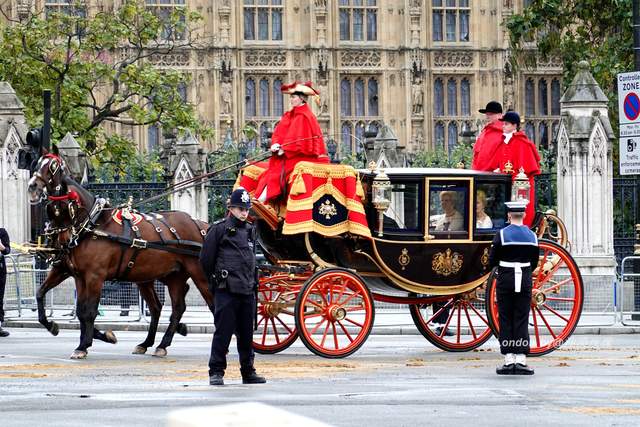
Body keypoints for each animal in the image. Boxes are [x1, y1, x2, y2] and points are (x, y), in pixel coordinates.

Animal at [27, 152, 214, 360]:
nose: (32, 186)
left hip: (199, 275)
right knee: (167, 307)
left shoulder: (95, 276)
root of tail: (202, 225)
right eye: (37, 163)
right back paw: (154, 344)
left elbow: (89, 311)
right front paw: (62, 328)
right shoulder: (72, 273)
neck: (91, 225)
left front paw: (84, 344)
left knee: (210, 303)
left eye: (52, 167)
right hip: (165, 276)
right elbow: (49, 296)